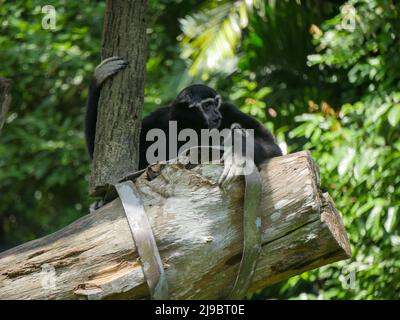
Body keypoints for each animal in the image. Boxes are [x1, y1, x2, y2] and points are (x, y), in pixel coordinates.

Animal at [86, 58, 282, 178]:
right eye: (207, 105)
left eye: (216, 103)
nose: (217, 115)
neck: (189, 126)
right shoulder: (160, 117)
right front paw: (98, 77)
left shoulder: (229, 110)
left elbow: (270, 145)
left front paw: (237, 154)